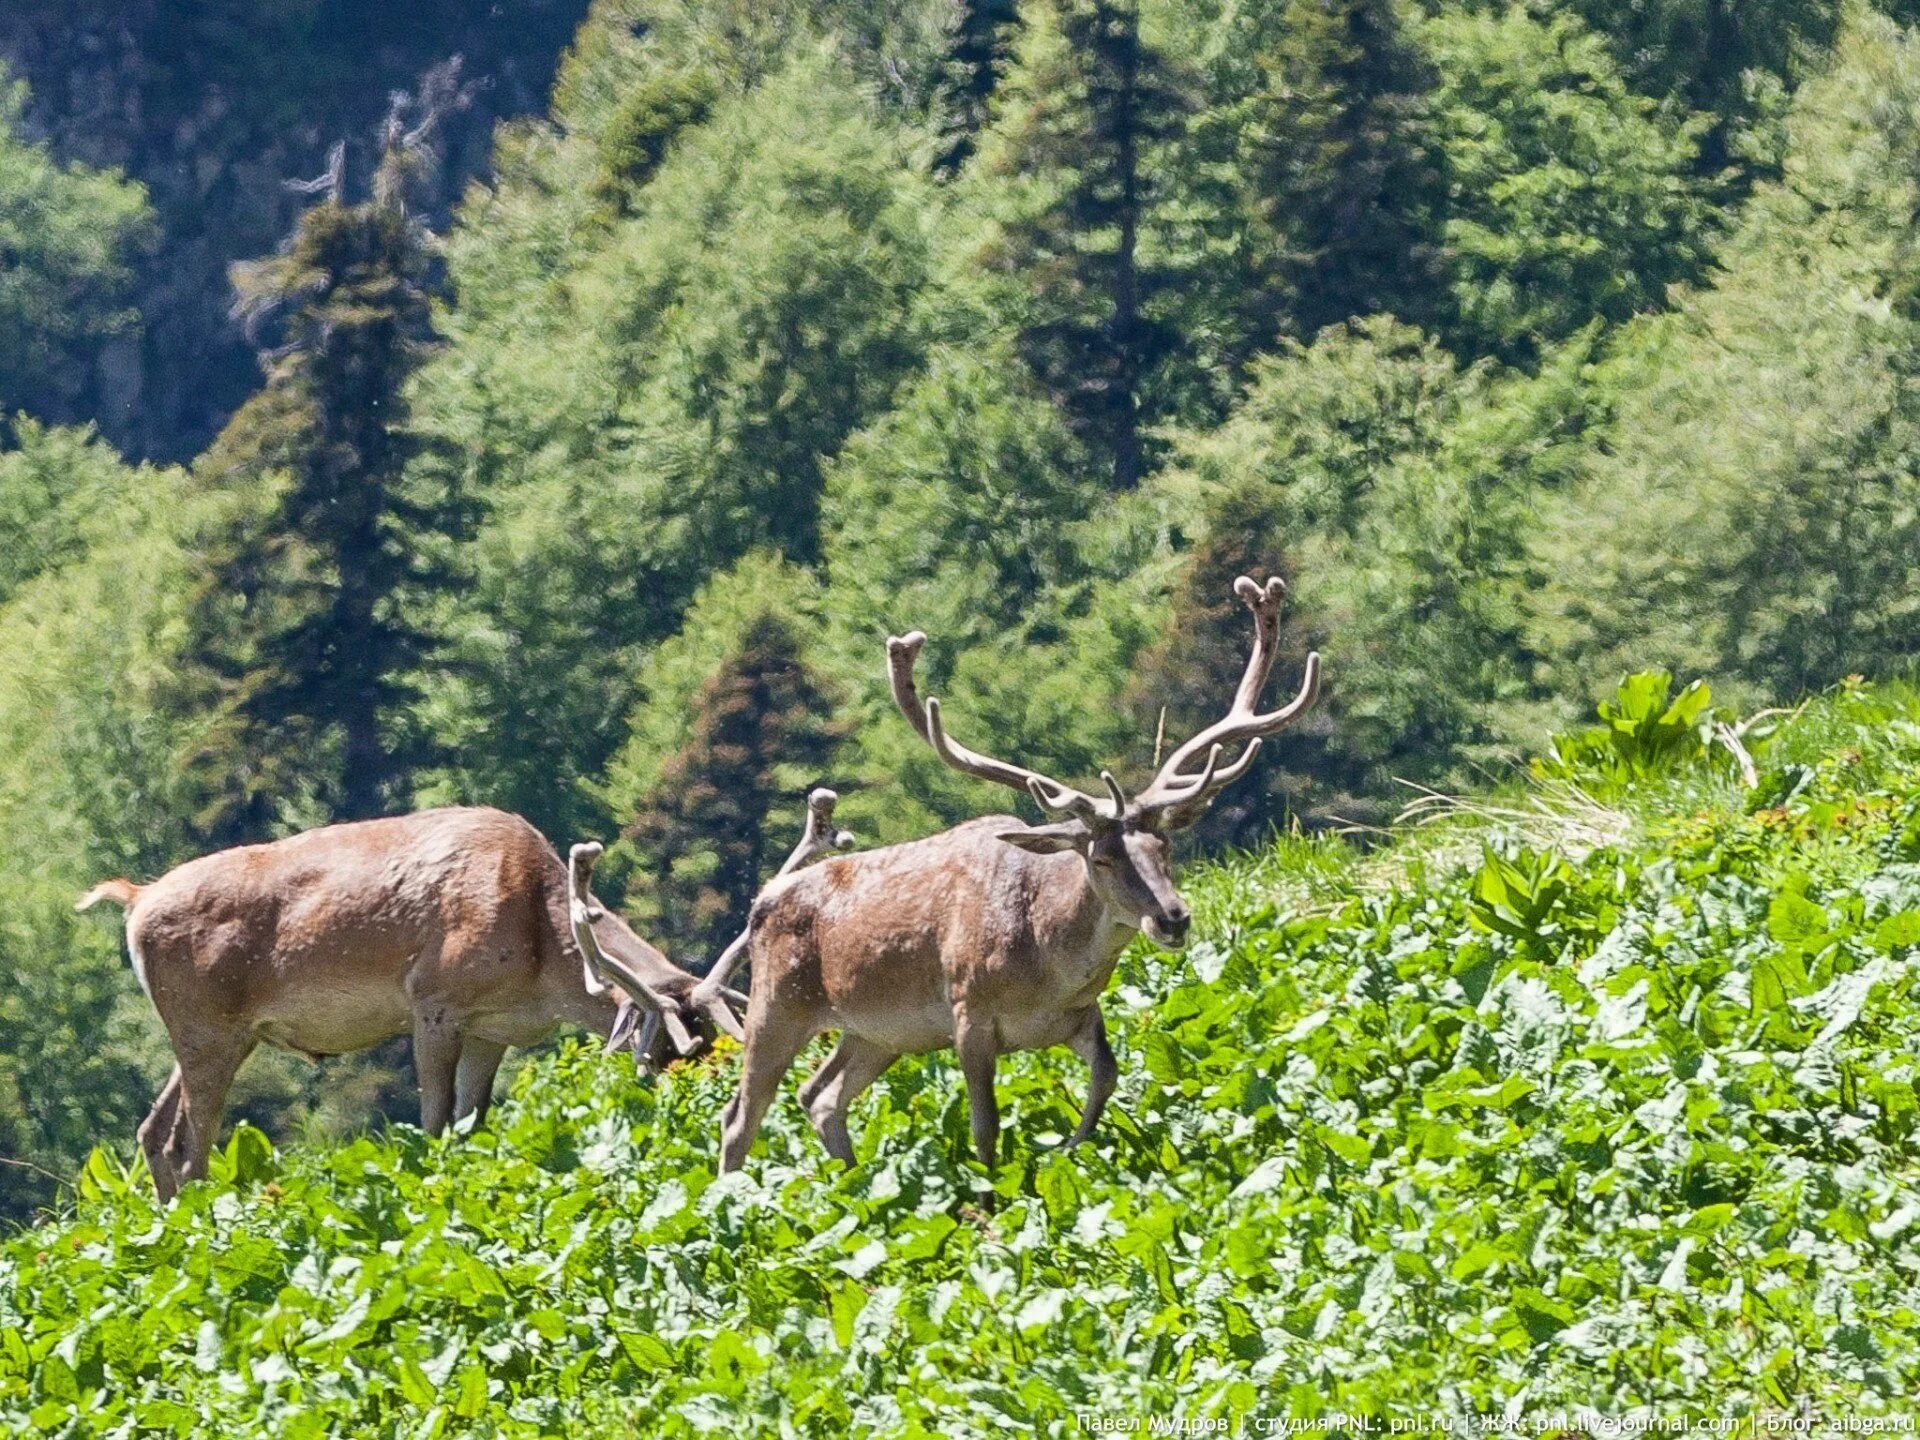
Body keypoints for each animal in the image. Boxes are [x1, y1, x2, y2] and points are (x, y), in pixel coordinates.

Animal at [72, 806, 741, 1198]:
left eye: (709, 1044)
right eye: (660, 1055)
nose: (688, 1118)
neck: (544, 958)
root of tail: (135, 902)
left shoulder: (493, 1028)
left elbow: (472, 1127)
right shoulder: (434, 1000)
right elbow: (434, 1124)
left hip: (218, 1035)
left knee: (154, 1131)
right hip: (208, 1028)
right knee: (189, 1146)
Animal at [718, 576, 1320, 1175]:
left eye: (1163, 845)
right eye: (1101, 858)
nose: (1173, 919)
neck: (1047, 972)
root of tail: (760, 902)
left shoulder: (1081, 1016)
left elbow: (1106, 1080)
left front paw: (1068, 1153)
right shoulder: (968, 1013)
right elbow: (985, 1129)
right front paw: (997, 1187)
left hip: (878, 1033)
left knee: (819, 1097)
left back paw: (852, 1183)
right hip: (775, 1005)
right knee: (740, 1116)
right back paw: (736, 1191)